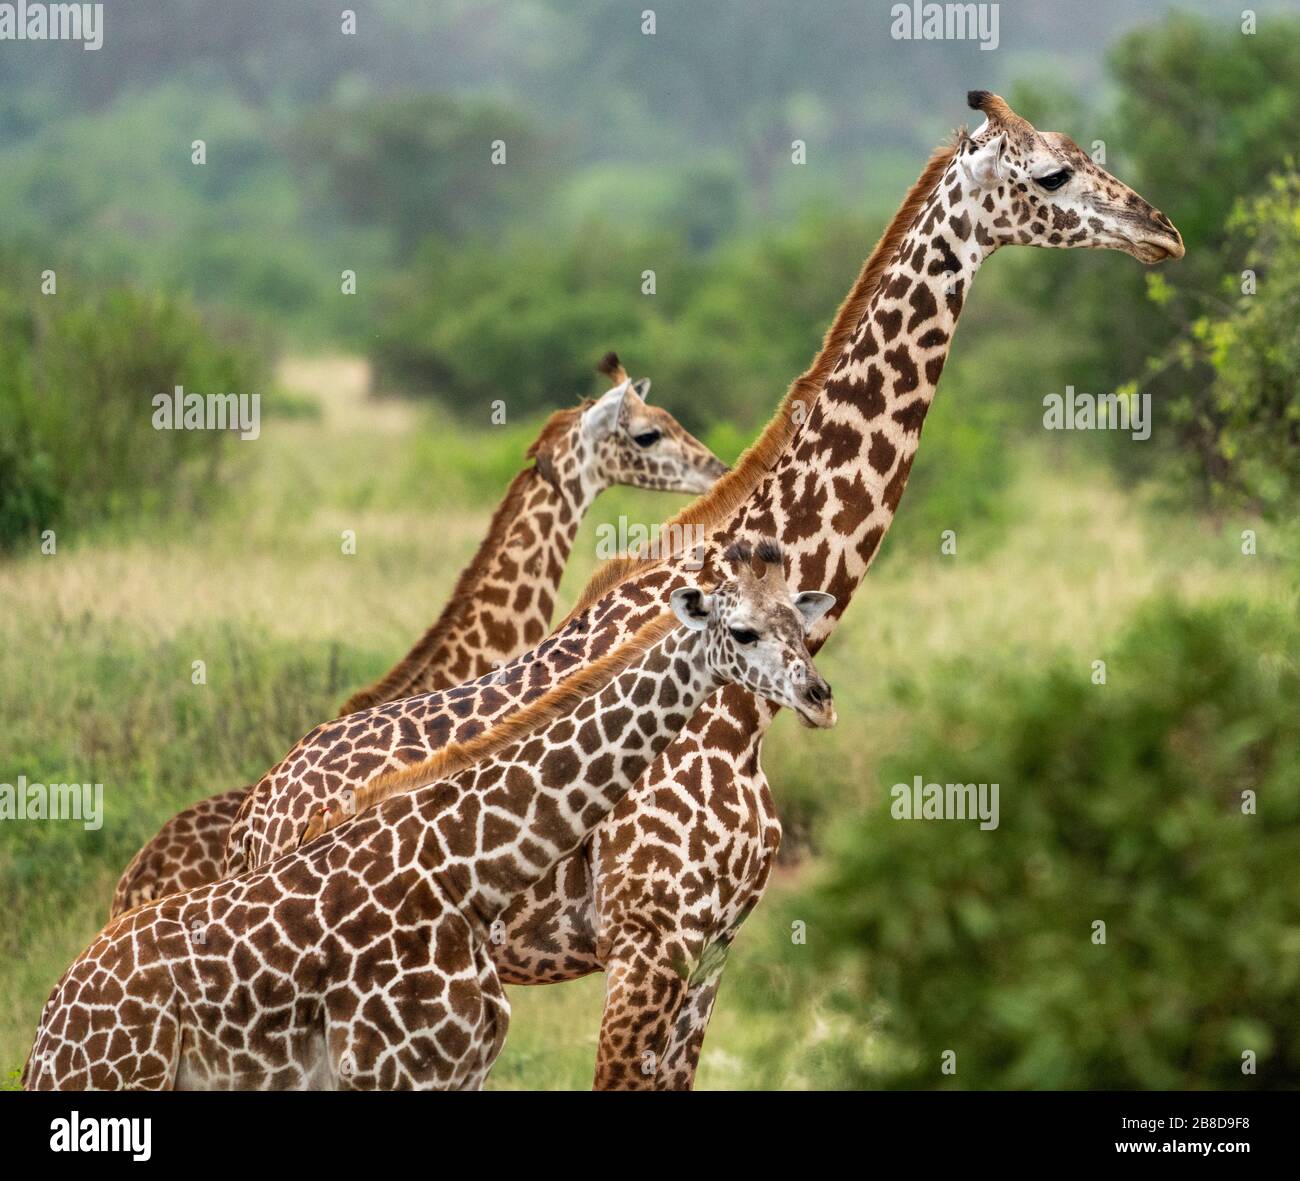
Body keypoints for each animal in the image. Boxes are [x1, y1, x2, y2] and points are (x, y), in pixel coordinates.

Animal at [26, 544, 834, 1091]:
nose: (820, 697)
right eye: (743, 632)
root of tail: (53, 1012)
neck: (465, 872)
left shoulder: (461, 1069)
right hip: (110, 1077)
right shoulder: (389, 1070)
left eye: (801, 626)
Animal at [171, 92, 1182, 1087]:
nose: (1162, 231)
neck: (746, 714)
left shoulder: (715, 948)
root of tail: (253, 817)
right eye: (1050, 173)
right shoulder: (649, 937)